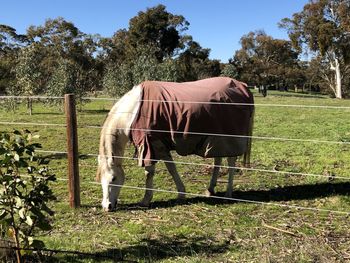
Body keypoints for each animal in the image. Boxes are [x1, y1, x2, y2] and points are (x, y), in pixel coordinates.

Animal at [95, 77, 254, 211]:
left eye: (113, 178)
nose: (107, 206)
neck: (133, 112)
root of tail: (242, 86)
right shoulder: (159, 147)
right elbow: (170, 168)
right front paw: (181, 193)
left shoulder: (152, 145)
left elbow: (152, 172)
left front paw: (147, 200)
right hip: (216, 140)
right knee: (218, 160)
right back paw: (210, 190)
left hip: (230, 138)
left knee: (231, 162)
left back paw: (228, 194)